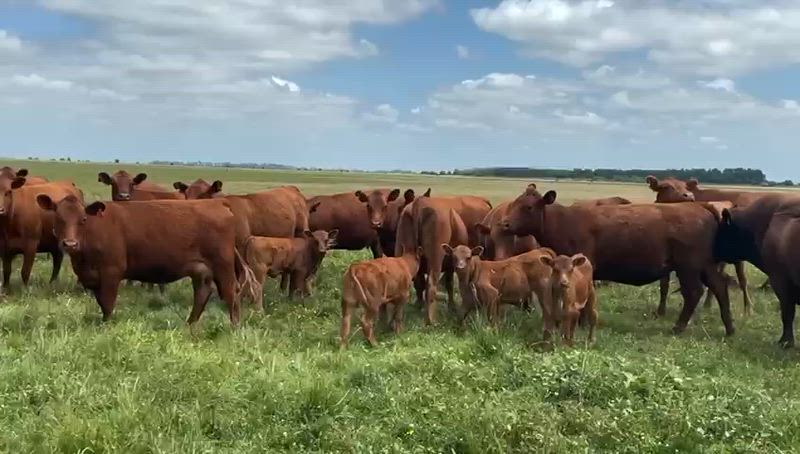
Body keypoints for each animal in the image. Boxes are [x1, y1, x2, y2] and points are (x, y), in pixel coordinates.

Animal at [35, 196, 241, 326]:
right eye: (58, 218)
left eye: (83, 219)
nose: (70, 243)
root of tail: (218, 203)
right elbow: (101, 302)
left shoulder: (112, 271)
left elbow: (108, 303)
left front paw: (107, 326)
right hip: (200, 269)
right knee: (202, 293)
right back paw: (189, 324)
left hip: (223, 265)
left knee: (231, 293)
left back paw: (234, 327)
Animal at [501, 184, 735, 337]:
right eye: (515, 203)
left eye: (528, 207)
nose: (504, 223)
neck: (563, 221)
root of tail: (701, 207)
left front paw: (582, 323)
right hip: (705, 265)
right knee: (720, 288)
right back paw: (730, 329)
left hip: (689, 267)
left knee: (694, 292)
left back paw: (678, 328)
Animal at [647, 175, 756, 315]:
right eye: (666, 186)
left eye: (686, 187)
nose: (688, 195)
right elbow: (664, 284)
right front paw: (661, 311)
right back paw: (707, 305)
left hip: (737, 259)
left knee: (742, 280)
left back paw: (748, 309)